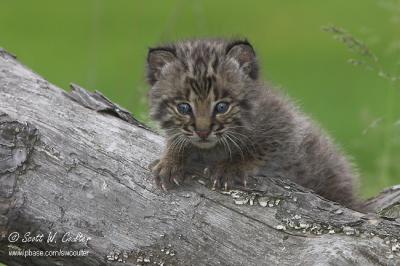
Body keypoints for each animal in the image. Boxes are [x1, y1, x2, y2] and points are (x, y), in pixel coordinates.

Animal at [145, 38, 358, 207]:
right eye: (184, 108)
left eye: (222, 107)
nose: (203, 132)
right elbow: (177, 137)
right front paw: (169, 161)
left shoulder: (286, 127)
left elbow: (257, 148)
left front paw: (229, 167)